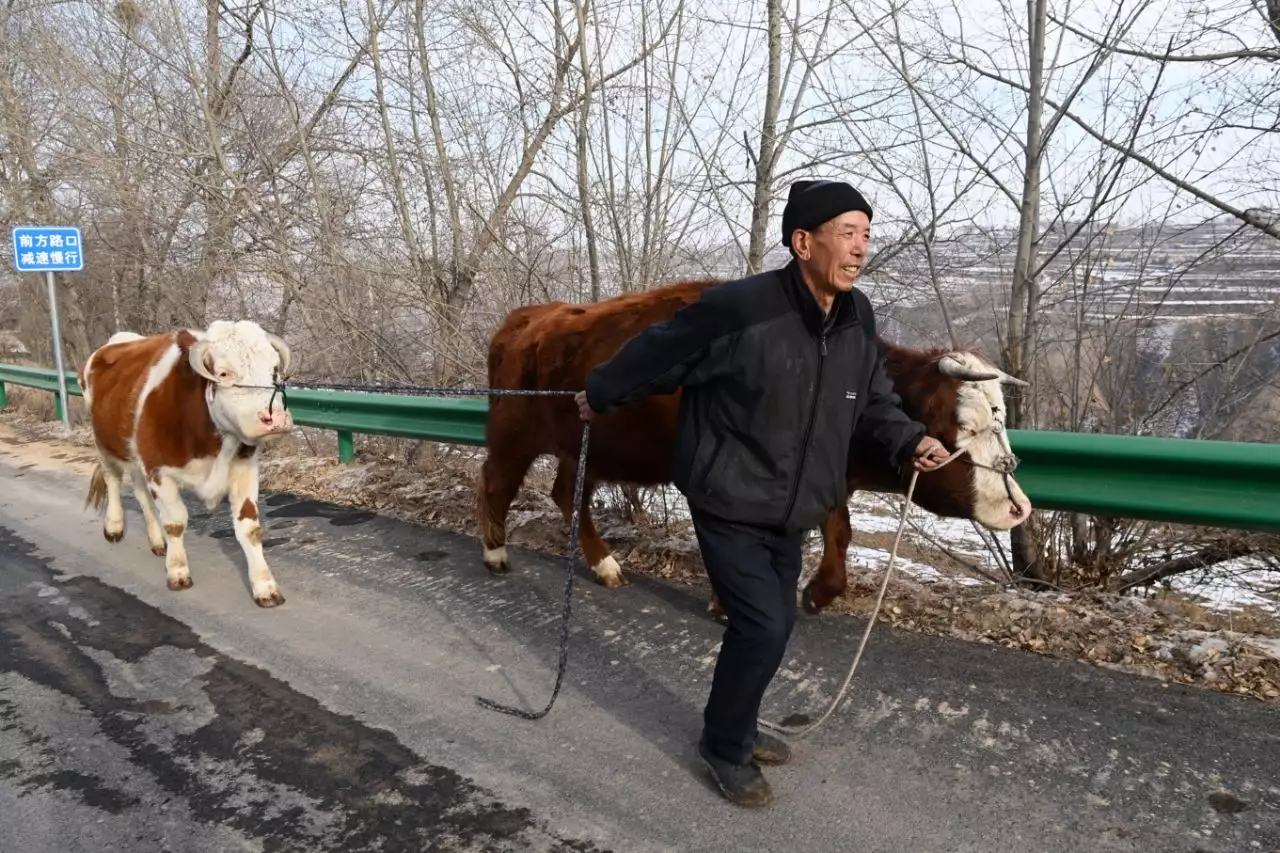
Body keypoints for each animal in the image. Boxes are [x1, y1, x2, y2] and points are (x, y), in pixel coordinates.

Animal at [81, 318, 295, 604]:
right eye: (223, 374)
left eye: (274, 372)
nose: (276, 418)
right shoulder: (159, 471)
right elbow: (175, 523)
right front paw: (178, 572)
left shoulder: (245, 469)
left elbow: (249, 527)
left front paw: (265, 586)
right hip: (105, 444)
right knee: (112, 478)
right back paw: (114, 527)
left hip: (136, 456)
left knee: (141, 493)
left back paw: (156, 541)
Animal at [476, 277, 1034, 612]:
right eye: (963, 426)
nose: (1018, 507)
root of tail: (526, 317)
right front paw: (731, 603)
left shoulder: (827, 475)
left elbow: (840, 532)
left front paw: (818, 593)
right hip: (512, 432)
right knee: (497, 482)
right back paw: (496, 554)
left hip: (585, 446)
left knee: (567, 494)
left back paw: (604, 565)